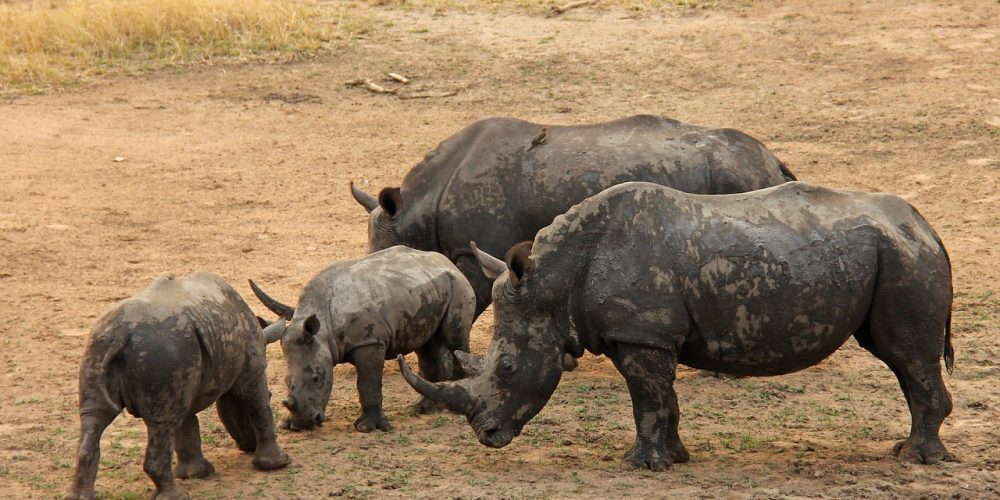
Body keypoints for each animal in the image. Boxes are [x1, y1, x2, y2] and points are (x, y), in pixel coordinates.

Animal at [65, 274, 290, 500]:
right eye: (272, 394)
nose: (247, 446)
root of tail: (120, 335)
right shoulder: (252, 371)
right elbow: (259, 406)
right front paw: (277, 464)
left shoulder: (185, 377)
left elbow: (186, 425)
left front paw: (196, 474)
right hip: (160, 350)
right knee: (161, 423)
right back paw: (178, 496)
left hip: (103, 348)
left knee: (94, 416)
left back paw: (78, 496)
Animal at [252, 244, 474, 432]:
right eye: (286, 381)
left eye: (316, 378)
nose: (305, 424)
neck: (324, 329)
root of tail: (445, 261)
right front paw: (289, 424)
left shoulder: (369, 342)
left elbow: (368, 384)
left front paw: (367, 428)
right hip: (423, 291)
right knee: (425, 344)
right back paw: (422, 408)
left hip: (458, 284)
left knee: (455, 339)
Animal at [402, 182, 956, 470]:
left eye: (509, 369)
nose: (487, 436)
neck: (554, 280)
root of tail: (927, 226)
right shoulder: (647, 334)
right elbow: (663, 399)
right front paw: (675, 458)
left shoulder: (641, 333)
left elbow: (646, 398)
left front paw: (638, 465)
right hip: (894, 252)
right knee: (902, 360)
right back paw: (905, 451)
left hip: (904, 257)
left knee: (907, 355)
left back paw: (918, 459)